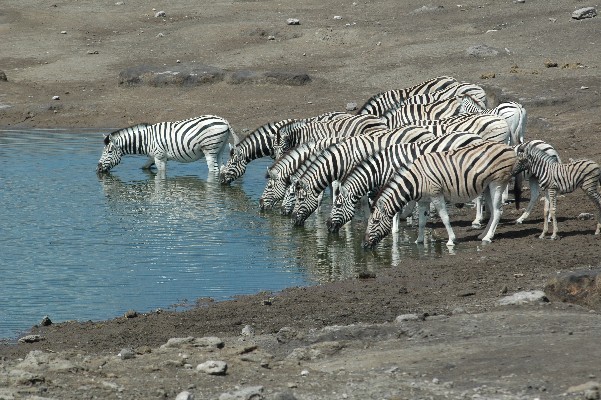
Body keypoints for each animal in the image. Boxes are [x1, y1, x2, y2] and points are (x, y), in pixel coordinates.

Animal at [324, 132, 482, 231]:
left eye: (338, 205)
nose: (328, 226)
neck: (382, 167)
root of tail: (476, 136)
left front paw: (395, 229)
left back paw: (478, 220)